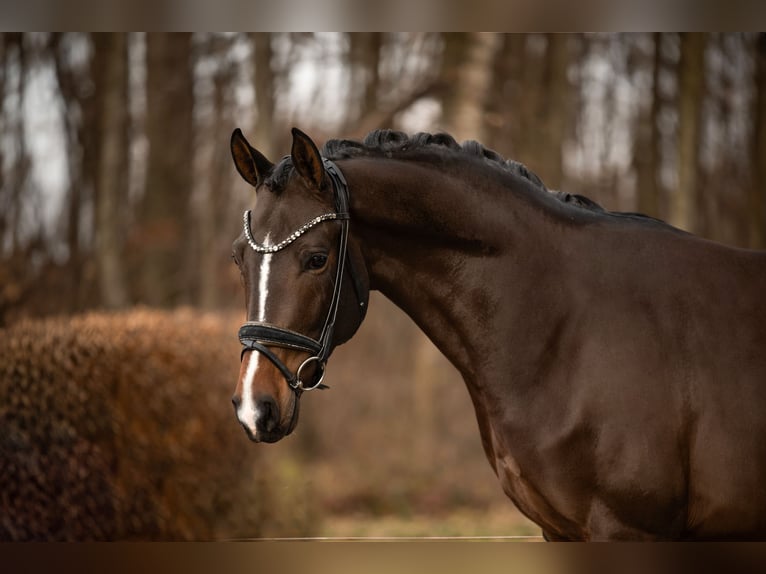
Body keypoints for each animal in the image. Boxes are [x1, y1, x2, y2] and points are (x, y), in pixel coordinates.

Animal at [228, 126, 766, 540]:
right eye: (239, 257)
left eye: (317, 259)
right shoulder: (560, 530)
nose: (256, 407)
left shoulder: (627, 529)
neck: (564, 328)